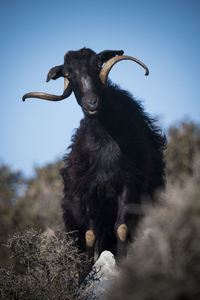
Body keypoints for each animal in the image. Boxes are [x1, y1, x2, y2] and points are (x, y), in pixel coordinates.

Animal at [22, 48, 166, 264]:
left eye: (98, 64)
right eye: (68, 74)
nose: (91, 103)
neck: (106, 140)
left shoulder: (128, 183)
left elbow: (121, 228)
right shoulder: (88, 189)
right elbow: (90, 234)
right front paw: (86, 270)